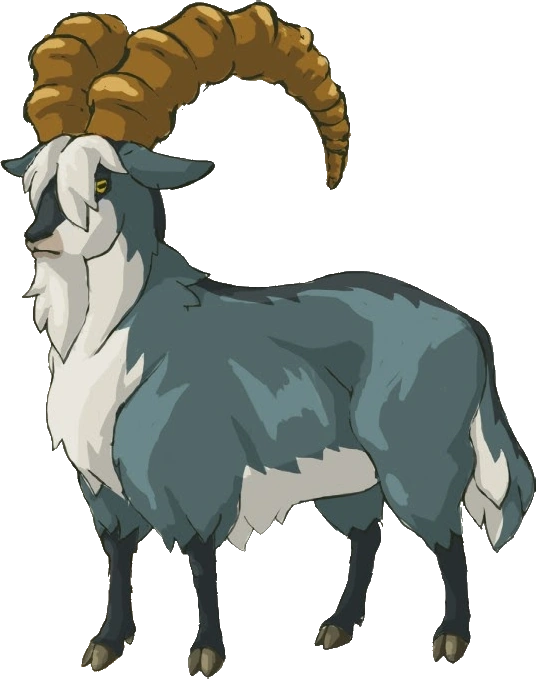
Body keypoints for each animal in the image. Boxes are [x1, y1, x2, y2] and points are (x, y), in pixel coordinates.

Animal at [3, 6, 533, 675]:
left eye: (102, 182)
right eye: (40, 177)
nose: (40, 236)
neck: (112, 340)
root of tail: (466, 327)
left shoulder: (192, 480)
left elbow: (198, 558)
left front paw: (205, 653)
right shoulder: (106, 494)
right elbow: (119, 556)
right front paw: (104, 645)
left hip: (417, 460)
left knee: (448, 537)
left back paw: (452, 640)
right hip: (353, 474)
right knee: (366, 532)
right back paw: (336, 628)